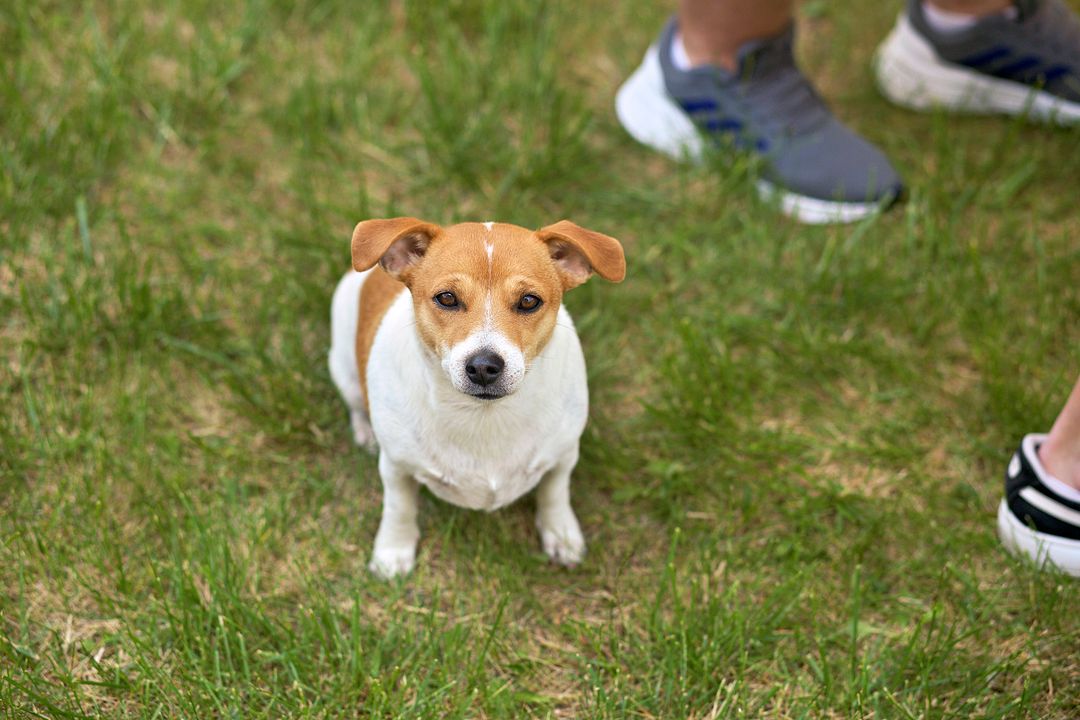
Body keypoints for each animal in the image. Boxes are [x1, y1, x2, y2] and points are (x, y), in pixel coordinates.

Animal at [326, 216, 626, 578]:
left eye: (529, 301)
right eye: (446, 298)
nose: (484, 366)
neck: (483, 416)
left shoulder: (564, 454)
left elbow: (555, 493)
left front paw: (561, 534)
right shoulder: (397, 467)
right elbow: (399, 507)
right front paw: (392, 551)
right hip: (343, 371)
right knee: (357, 404)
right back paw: (365, 432)